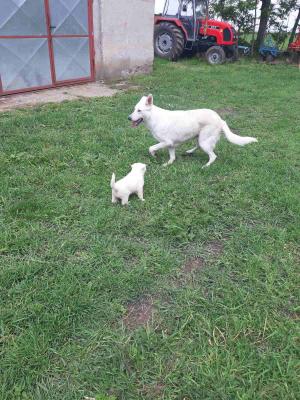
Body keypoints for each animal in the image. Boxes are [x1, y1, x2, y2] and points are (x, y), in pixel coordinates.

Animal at [127, 94, 256, 166]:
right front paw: (167, 164)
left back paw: (205, 166)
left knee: (213, 156)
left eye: (139, 110)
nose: (128, 118)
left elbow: (151, 148)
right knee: (199, 146)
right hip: (200, 138)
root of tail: (220, 119)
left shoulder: (166, 142)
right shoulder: (170, 145)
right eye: (134, 109)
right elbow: (172, 158)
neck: (154, 118)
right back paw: (189, 151)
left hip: (204, 141)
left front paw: (154, 155)